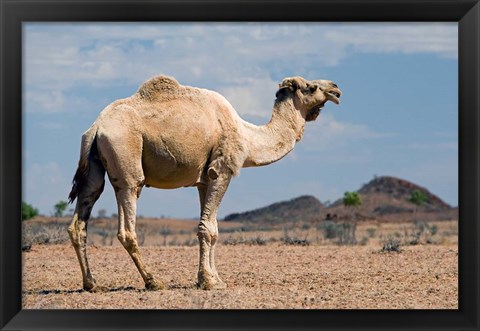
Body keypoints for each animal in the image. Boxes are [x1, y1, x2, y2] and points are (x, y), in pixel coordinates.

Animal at [67, 74, 342, 290]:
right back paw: (153, 281)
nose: (336, 89)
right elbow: (208, 229)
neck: (247, 135)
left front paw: (212, 278)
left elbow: (212, 229)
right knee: (128, 219)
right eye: (311, 87)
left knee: (81, 218)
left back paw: (92, 284)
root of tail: (96, 128)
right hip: (126, 157)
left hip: (95, 166)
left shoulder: (203, 180)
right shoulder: (222, 170)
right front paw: (210, 282)